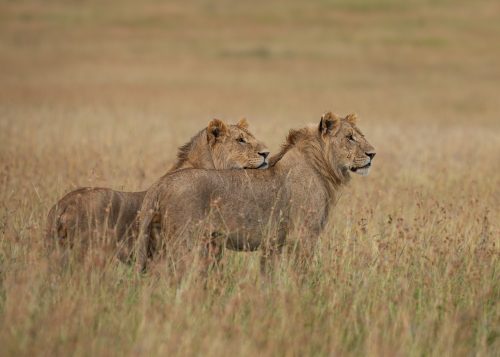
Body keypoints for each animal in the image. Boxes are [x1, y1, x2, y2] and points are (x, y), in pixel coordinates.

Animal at [135, 112, 376, 272]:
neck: (322, 167)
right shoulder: (303, 236)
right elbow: (301, 272)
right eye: (350, 137)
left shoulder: (274, 244)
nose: (373, 154)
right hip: (185, 242)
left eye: (360, 135)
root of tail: (160, 183)